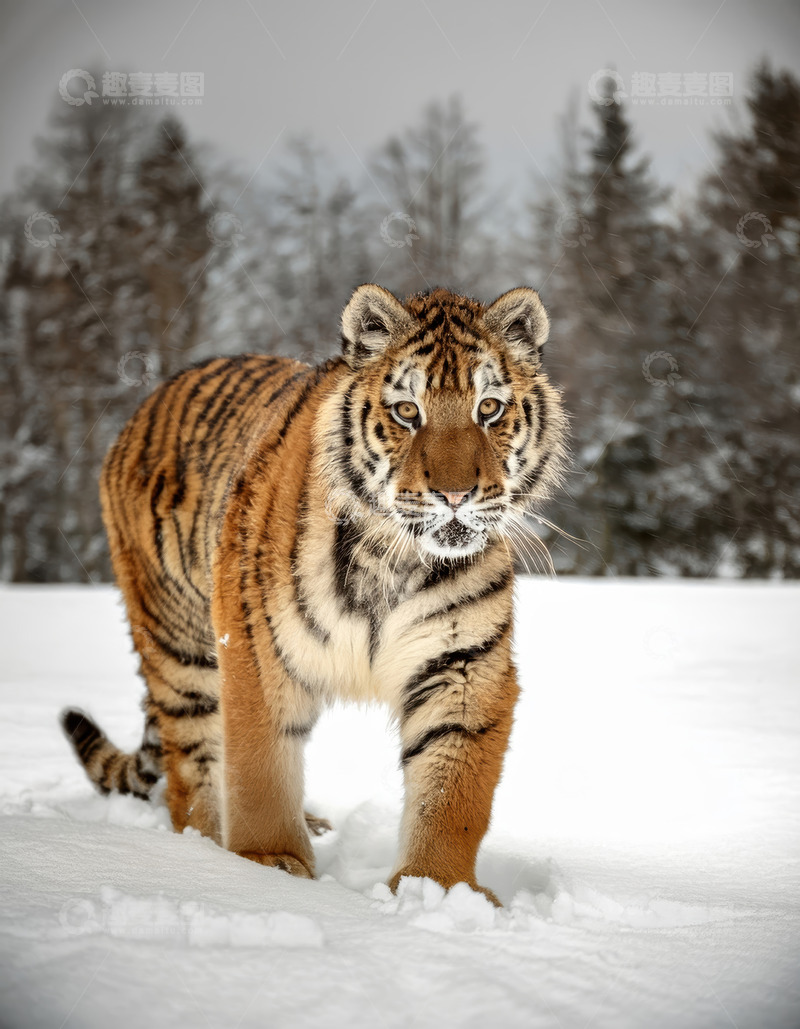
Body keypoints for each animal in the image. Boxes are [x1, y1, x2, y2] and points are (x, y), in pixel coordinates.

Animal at [61, 284, 568, 905]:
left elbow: (454, 795)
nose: (455, 495)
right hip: (179, 648)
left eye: (489, 409)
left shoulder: (463, 666)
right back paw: (204, 847)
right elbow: (259, 771)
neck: (394, 559)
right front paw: (267, 865)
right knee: (193, 764)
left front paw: (437, 889)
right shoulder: (255, 650)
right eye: (407, 412)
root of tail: (143, 408)